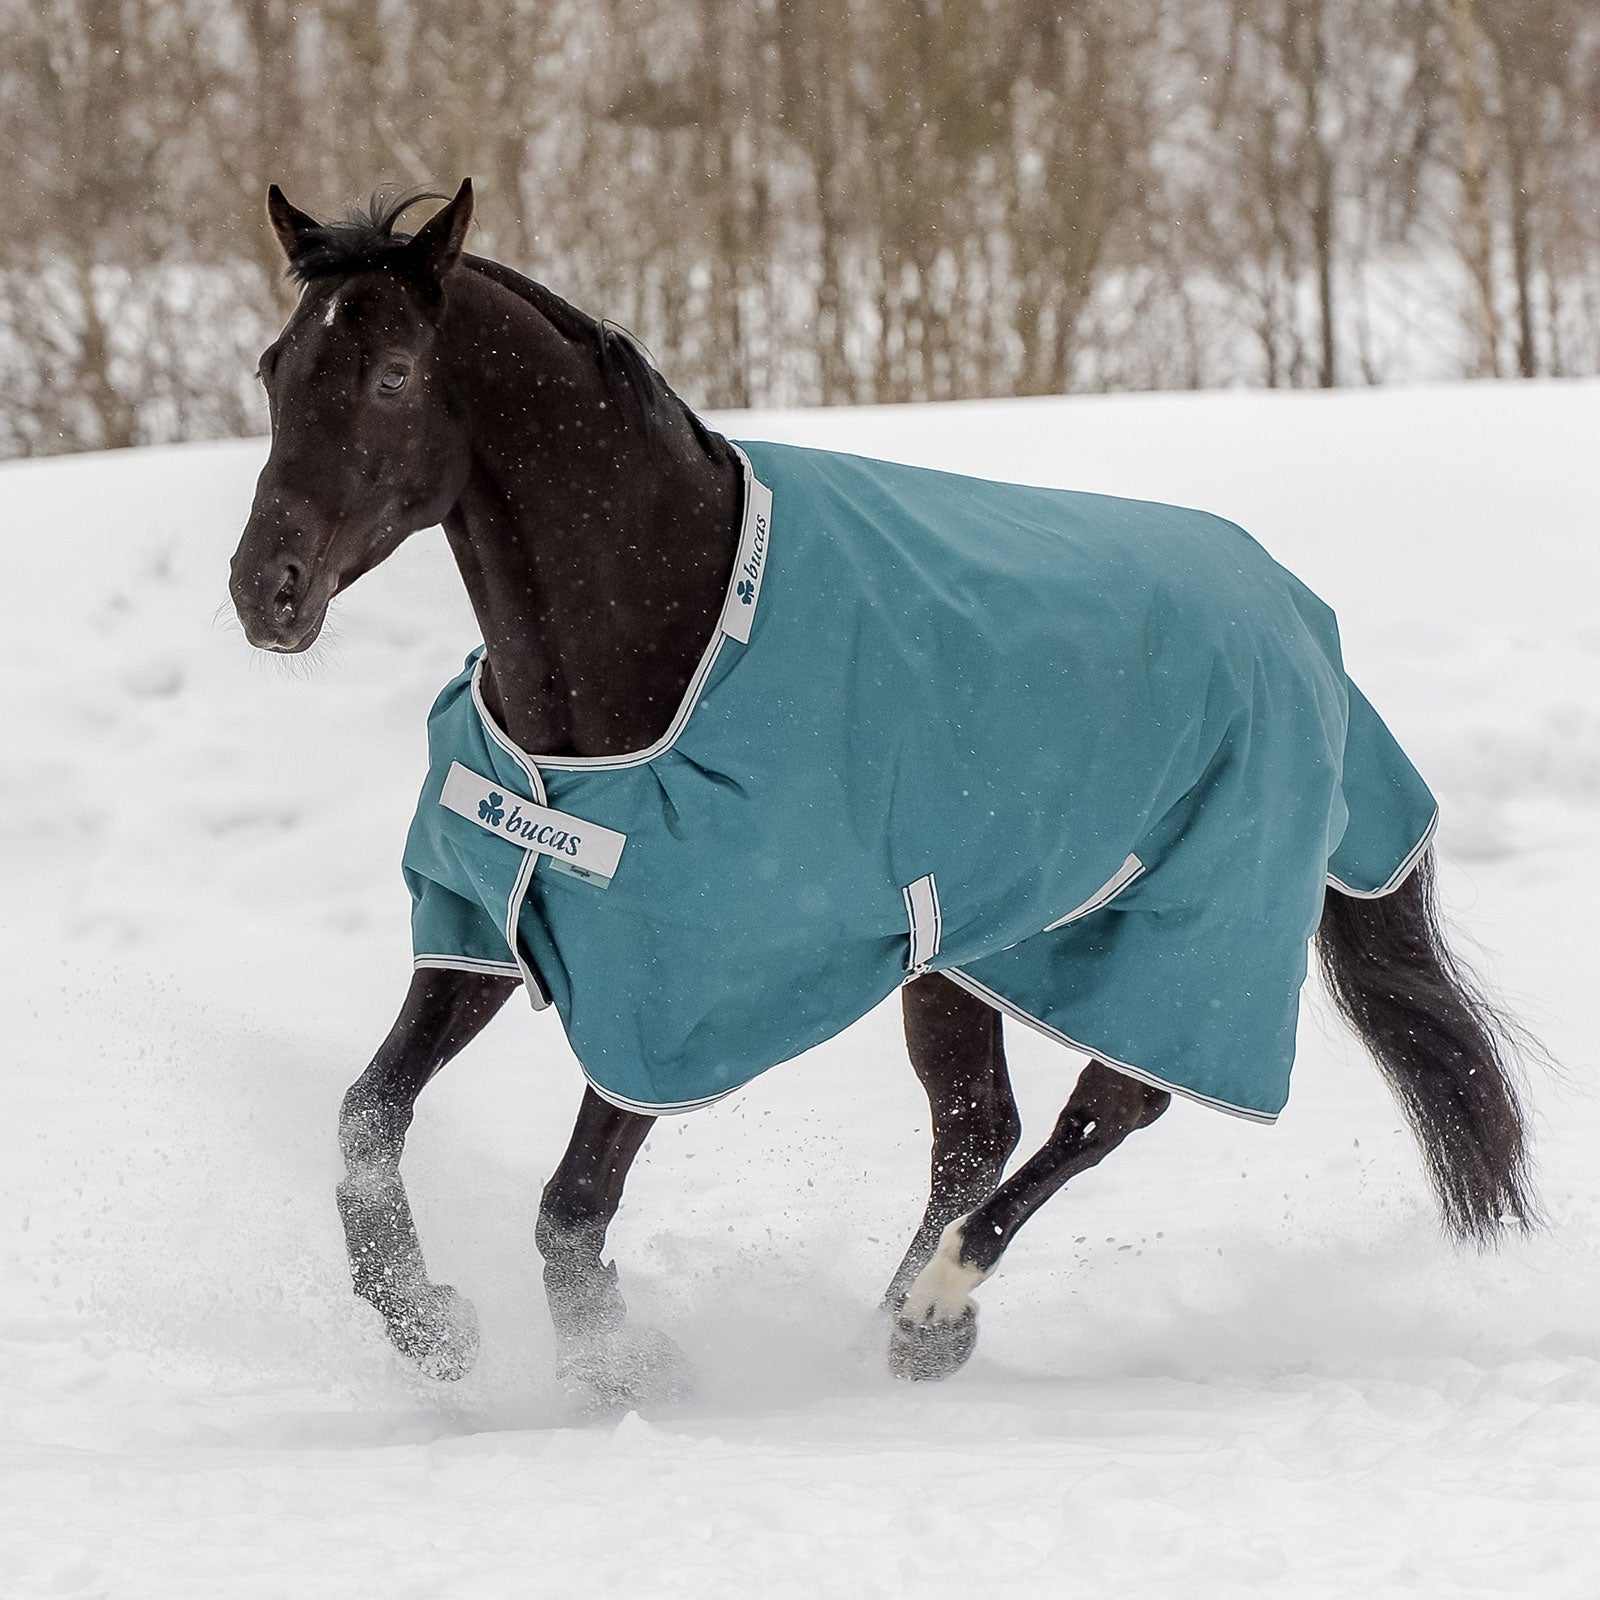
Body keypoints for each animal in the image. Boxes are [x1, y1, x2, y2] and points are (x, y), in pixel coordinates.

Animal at [229, 179, 1537, 1400]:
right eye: (274, 367)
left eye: (393, 374)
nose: (264, 590)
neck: (658, 642)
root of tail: (1303, 620)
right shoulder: (491, 918)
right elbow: (365, 1119)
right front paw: (426, 1320)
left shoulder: (690, 992)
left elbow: (571, 1199)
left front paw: (617, 1361)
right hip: (963, 946)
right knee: (977, 1127)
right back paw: (894, 1331)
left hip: (1193, 941)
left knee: (1106, 1107)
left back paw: (933, 1313)